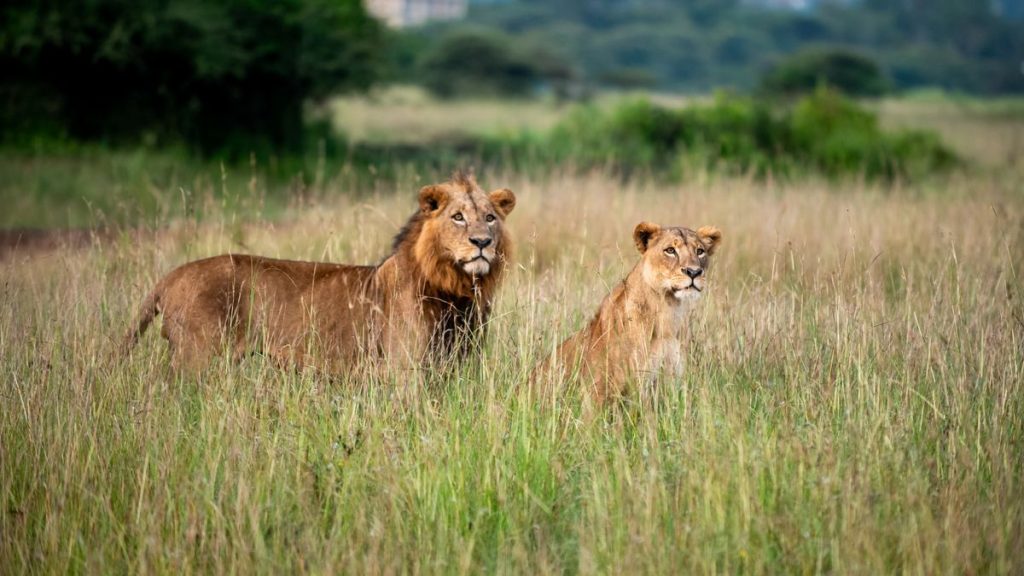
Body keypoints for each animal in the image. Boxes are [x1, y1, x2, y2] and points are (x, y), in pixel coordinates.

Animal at [122, 173, 516, 373]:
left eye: (490, 218)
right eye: (458, 217)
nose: (482, 242)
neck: (456, 289)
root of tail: (170, 276)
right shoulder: (403, 369)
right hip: (198, 357)